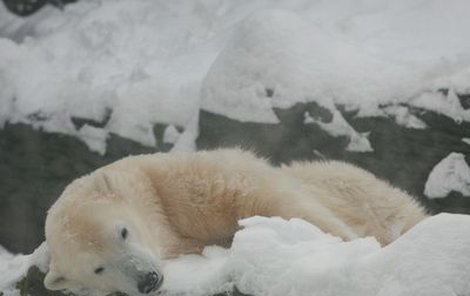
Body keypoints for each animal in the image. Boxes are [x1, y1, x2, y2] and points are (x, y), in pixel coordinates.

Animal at [43, 149, 426, 294]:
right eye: (98, 268)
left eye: (122, 232)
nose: (147, 280)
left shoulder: (179, 183)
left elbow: (262, 197)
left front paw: (346, 247)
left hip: (358, 187)